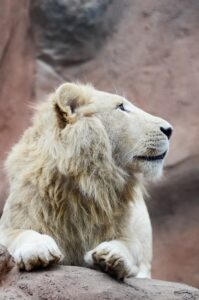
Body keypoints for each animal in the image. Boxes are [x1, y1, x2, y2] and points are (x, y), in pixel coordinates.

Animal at [0, 82, 172, 278]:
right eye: (121, 107)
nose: (169, 130)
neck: (86, 182)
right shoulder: (14, 217)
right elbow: (21, 233)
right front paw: (39, 251)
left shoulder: (126, 231)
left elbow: (130, 246)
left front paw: (110, 255)